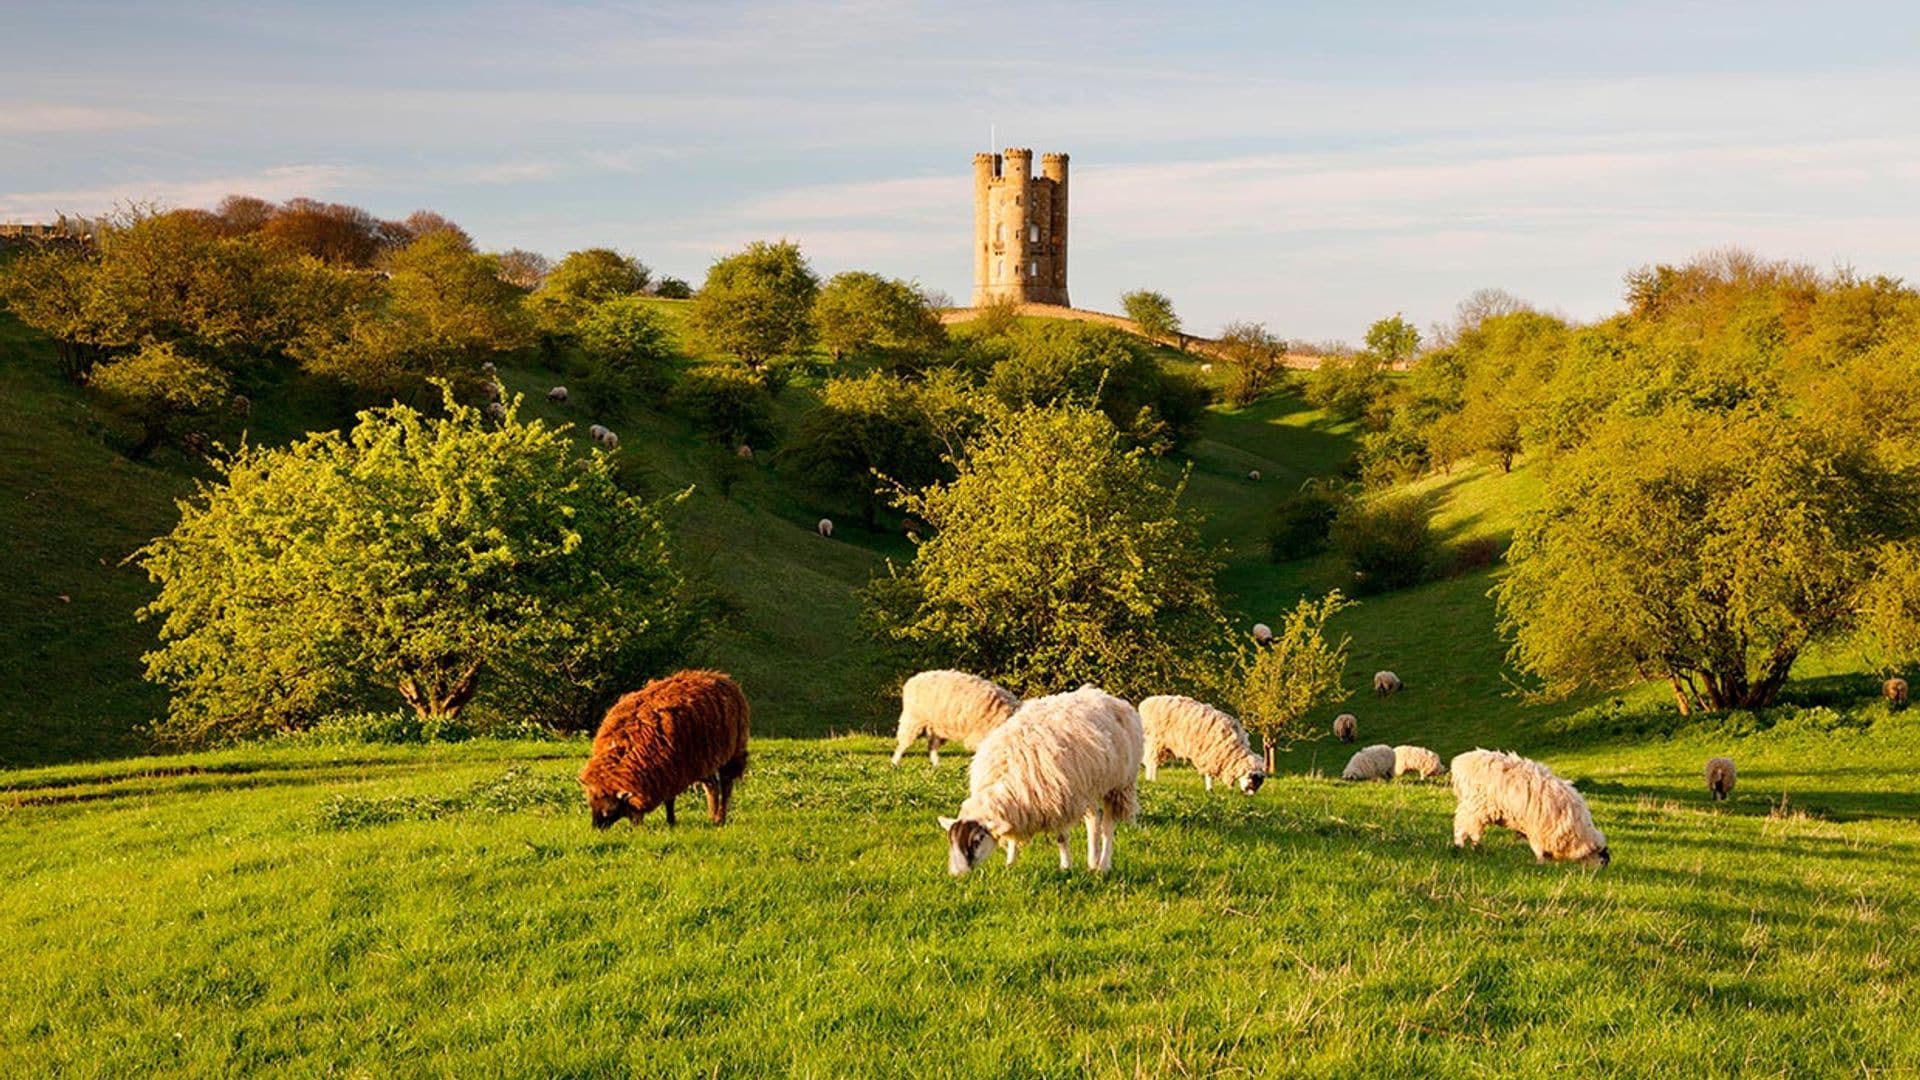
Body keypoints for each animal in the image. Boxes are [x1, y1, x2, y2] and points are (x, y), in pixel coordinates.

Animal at [576, 664, 748, 822]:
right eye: (591, 805)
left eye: (609, 811)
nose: (596, 829)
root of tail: (719, 676)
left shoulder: (672, 772)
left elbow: (669, 800)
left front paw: (671, 822)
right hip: (703, 759)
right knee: (712, 785)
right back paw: (713, 816)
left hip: (733, 751)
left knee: (726, 784)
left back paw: (720, 818)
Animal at [940, 680, 1136, 876]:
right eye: (951, 841)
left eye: (977, 840)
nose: (957, 874)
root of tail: (1103, 694)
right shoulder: (1023, 805)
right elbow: (1013, 838)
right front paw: (1010, 863)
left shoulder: (1059, 801)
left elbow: (1061, 837)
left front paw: (1066, 867)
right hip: (1086, 787)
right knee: (1094, 819)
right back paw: (1093, 861)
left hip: (1119, 785)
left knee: (1108, 826)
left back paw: (1103, 865)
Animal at [1128, 687, 1267, 791]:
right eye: (1252, 779)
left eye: (1259, 783)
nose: (1250, 794)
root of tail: (1146, 702)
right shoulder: (1210, 754)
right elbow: (1209, 774)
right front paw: (1210, 789)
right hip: (1154, 741)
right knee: (1151, 762)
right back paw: (1151, 780)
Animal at [1443, 749, 1612, 864]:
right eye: (1603, 862)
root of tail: (1461, 762)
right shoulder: (1539, 830)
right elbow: (1538, 851)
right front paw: (1541, 865)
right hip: (1475, 808)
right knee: (1465, 829)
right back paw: (1465, 847)